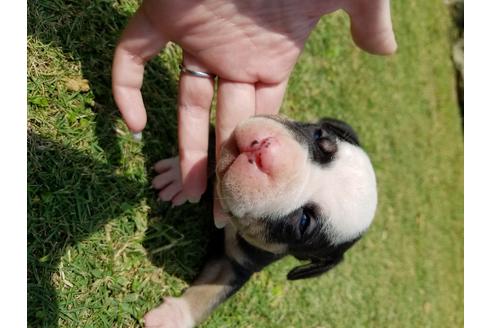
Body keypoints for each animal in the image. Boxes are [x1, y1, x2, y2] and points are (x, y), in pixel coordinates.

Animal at [145, 116, 376, 328]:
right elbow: (212, 146)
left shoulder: (239, 263)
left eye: (303, 222)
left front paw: (173, 317)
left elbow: (209, 294)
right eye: (319, 136)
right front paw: (180, 176)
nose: (267, 155)